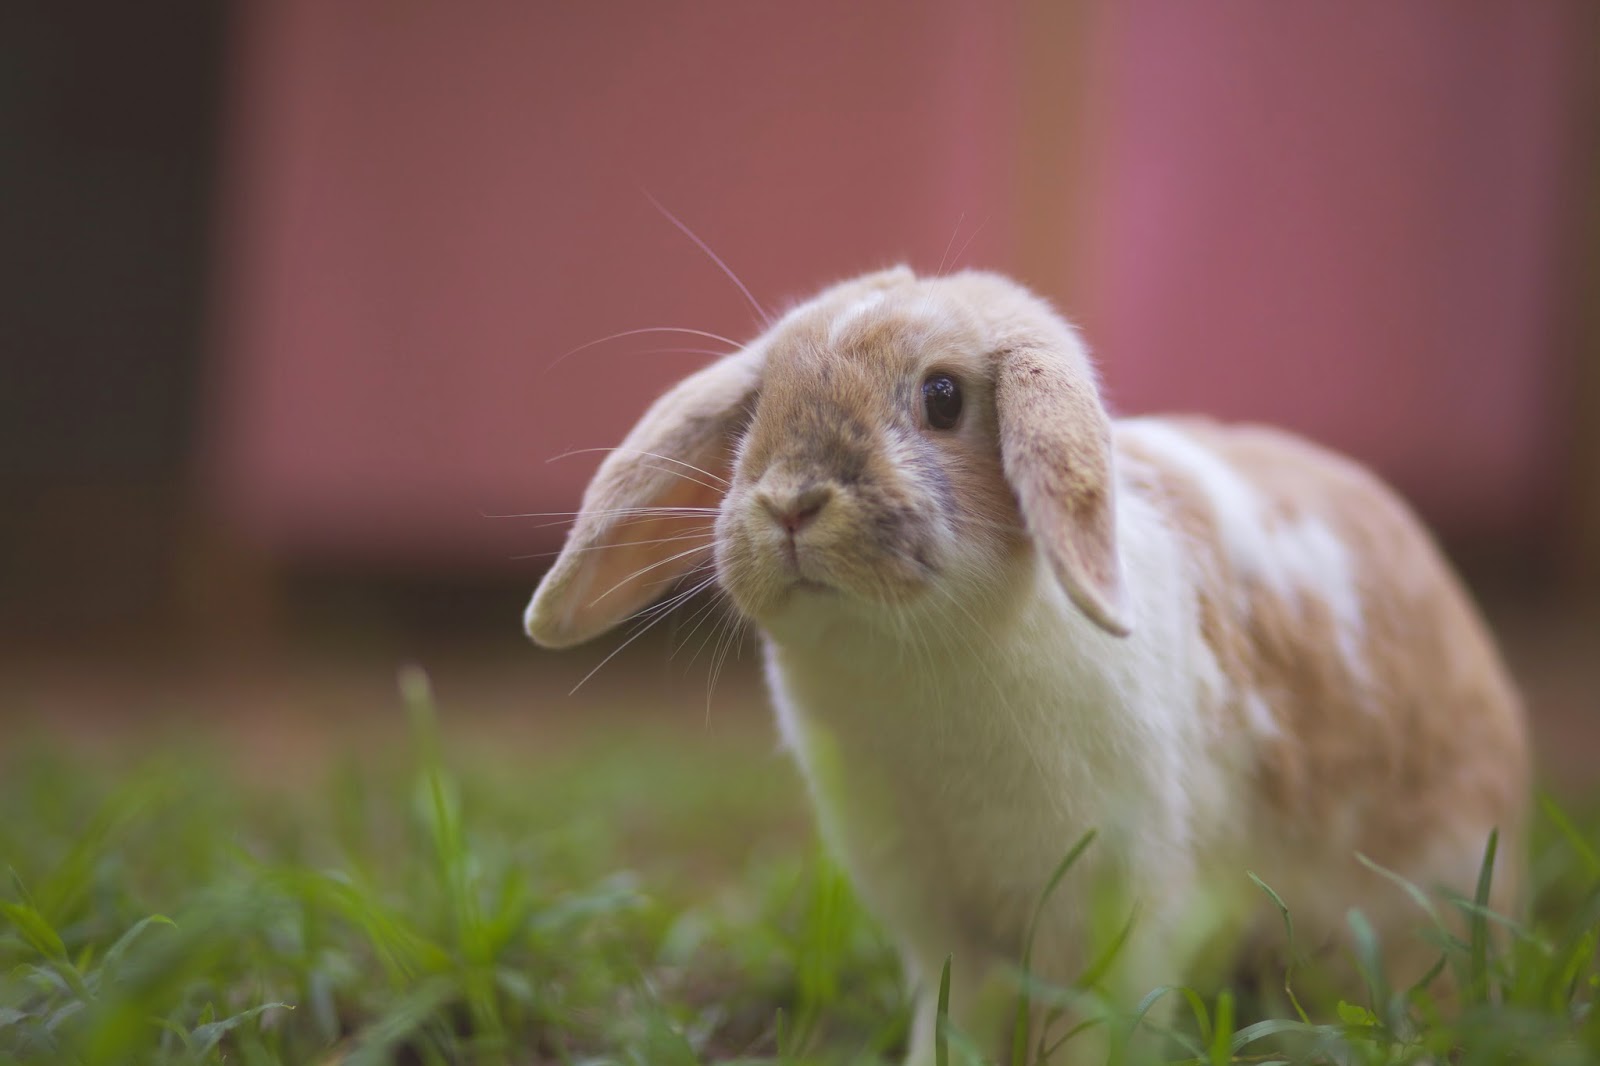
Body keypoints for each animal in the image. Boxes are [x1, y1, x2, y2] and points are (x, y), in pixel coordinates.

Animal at [524, 267, 1529, 1064]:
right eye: (753, 411)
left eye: (941, 397)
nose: (791, 501)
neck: (909, 667)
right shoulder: (937, 923)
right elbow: (952, 1019)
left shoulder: (1113, 912)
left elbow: (1083, 1031)